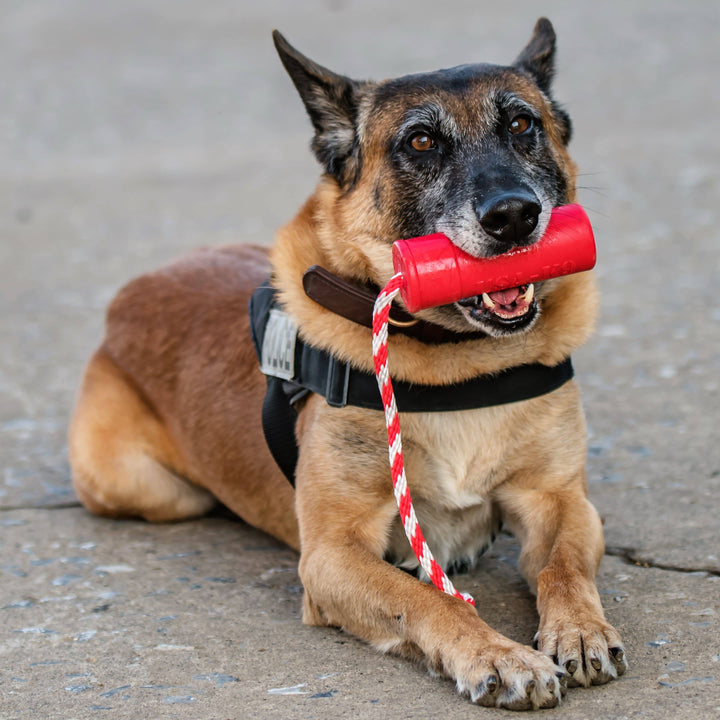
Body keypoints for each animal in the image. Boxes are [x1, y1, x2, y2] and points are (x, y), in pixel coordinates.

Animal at [70, 16, 628, 708]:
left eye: (523, 125)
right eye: (421, 141)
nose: (515, 216)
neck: (454, 359)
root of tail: (132, 292)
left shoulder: (560, 500)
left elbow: (563, 566)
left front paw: (578, 627)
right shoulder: (334, 554)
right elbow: (429, 600)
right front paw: (498, 656)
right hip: (146, 489)